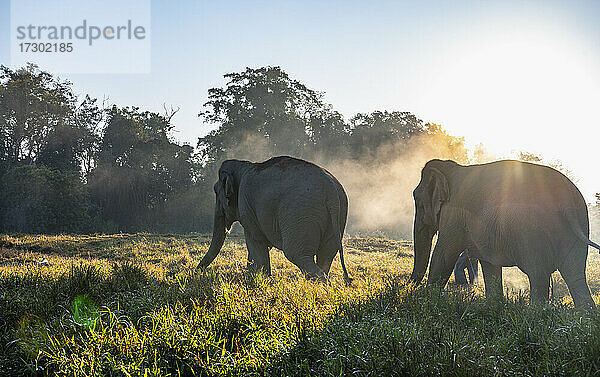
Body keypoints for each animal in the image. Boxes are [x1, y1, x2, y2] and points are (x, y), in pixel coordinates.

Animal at [196, 155, 352, 282]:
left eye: (216, 192)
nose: (198, 271)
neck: (243, 165)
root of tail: (331, 188)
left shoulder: (247, 207)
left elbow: (255, 241)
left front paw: (260, 279)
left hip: (301, 214)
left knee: (297, 254)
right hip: (337, 217)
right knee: (325, 255)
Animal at [408, 157, 600, 306]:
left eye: (417, 200)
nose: (410, 287)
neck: (451, 169)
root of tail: (566, 198)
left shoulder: (454, 214)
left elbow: (443, 255)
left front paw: (426, 300)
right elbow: (489, 264)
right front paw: (493, 306)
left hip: (531, 231)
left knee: (538, 273)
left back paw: (535, 315)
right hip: (578, 225)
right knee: (575, 274)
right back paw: (585, 320)